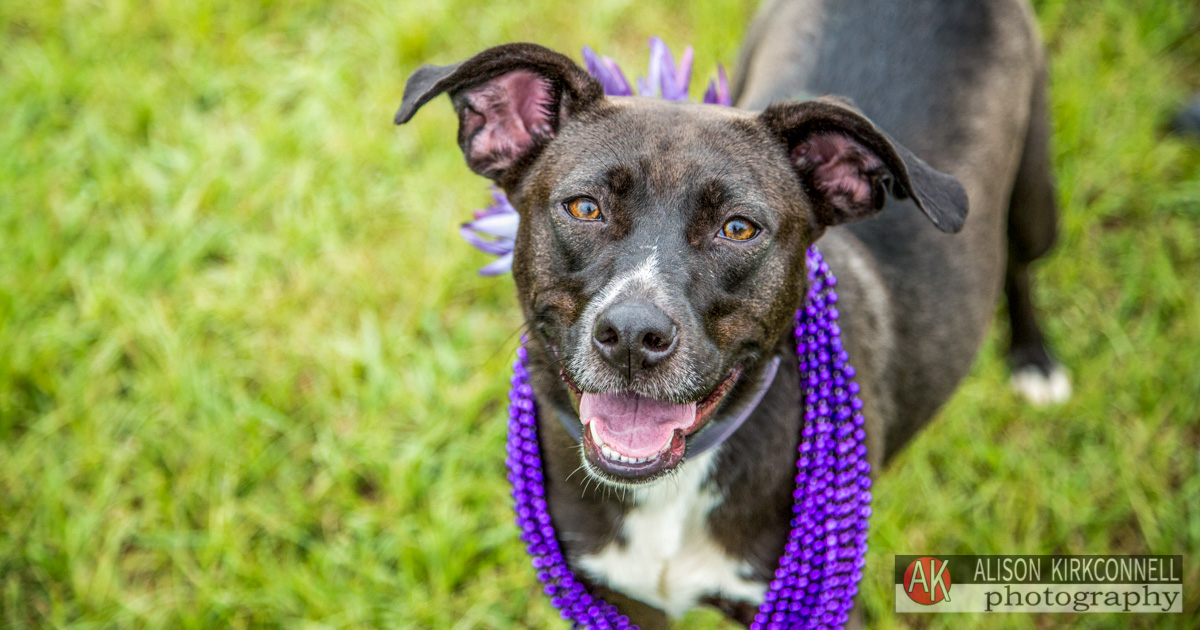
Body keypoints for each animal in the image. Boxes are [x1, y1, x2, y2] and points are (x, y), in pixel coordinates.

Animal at [396, 0, 1070, 624]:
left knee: (1019, 262)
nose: (633, 335)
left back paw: (1035, 362)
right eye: (584, 207)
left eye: (739, 228)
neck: (673, 486)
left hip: (1035, 198)